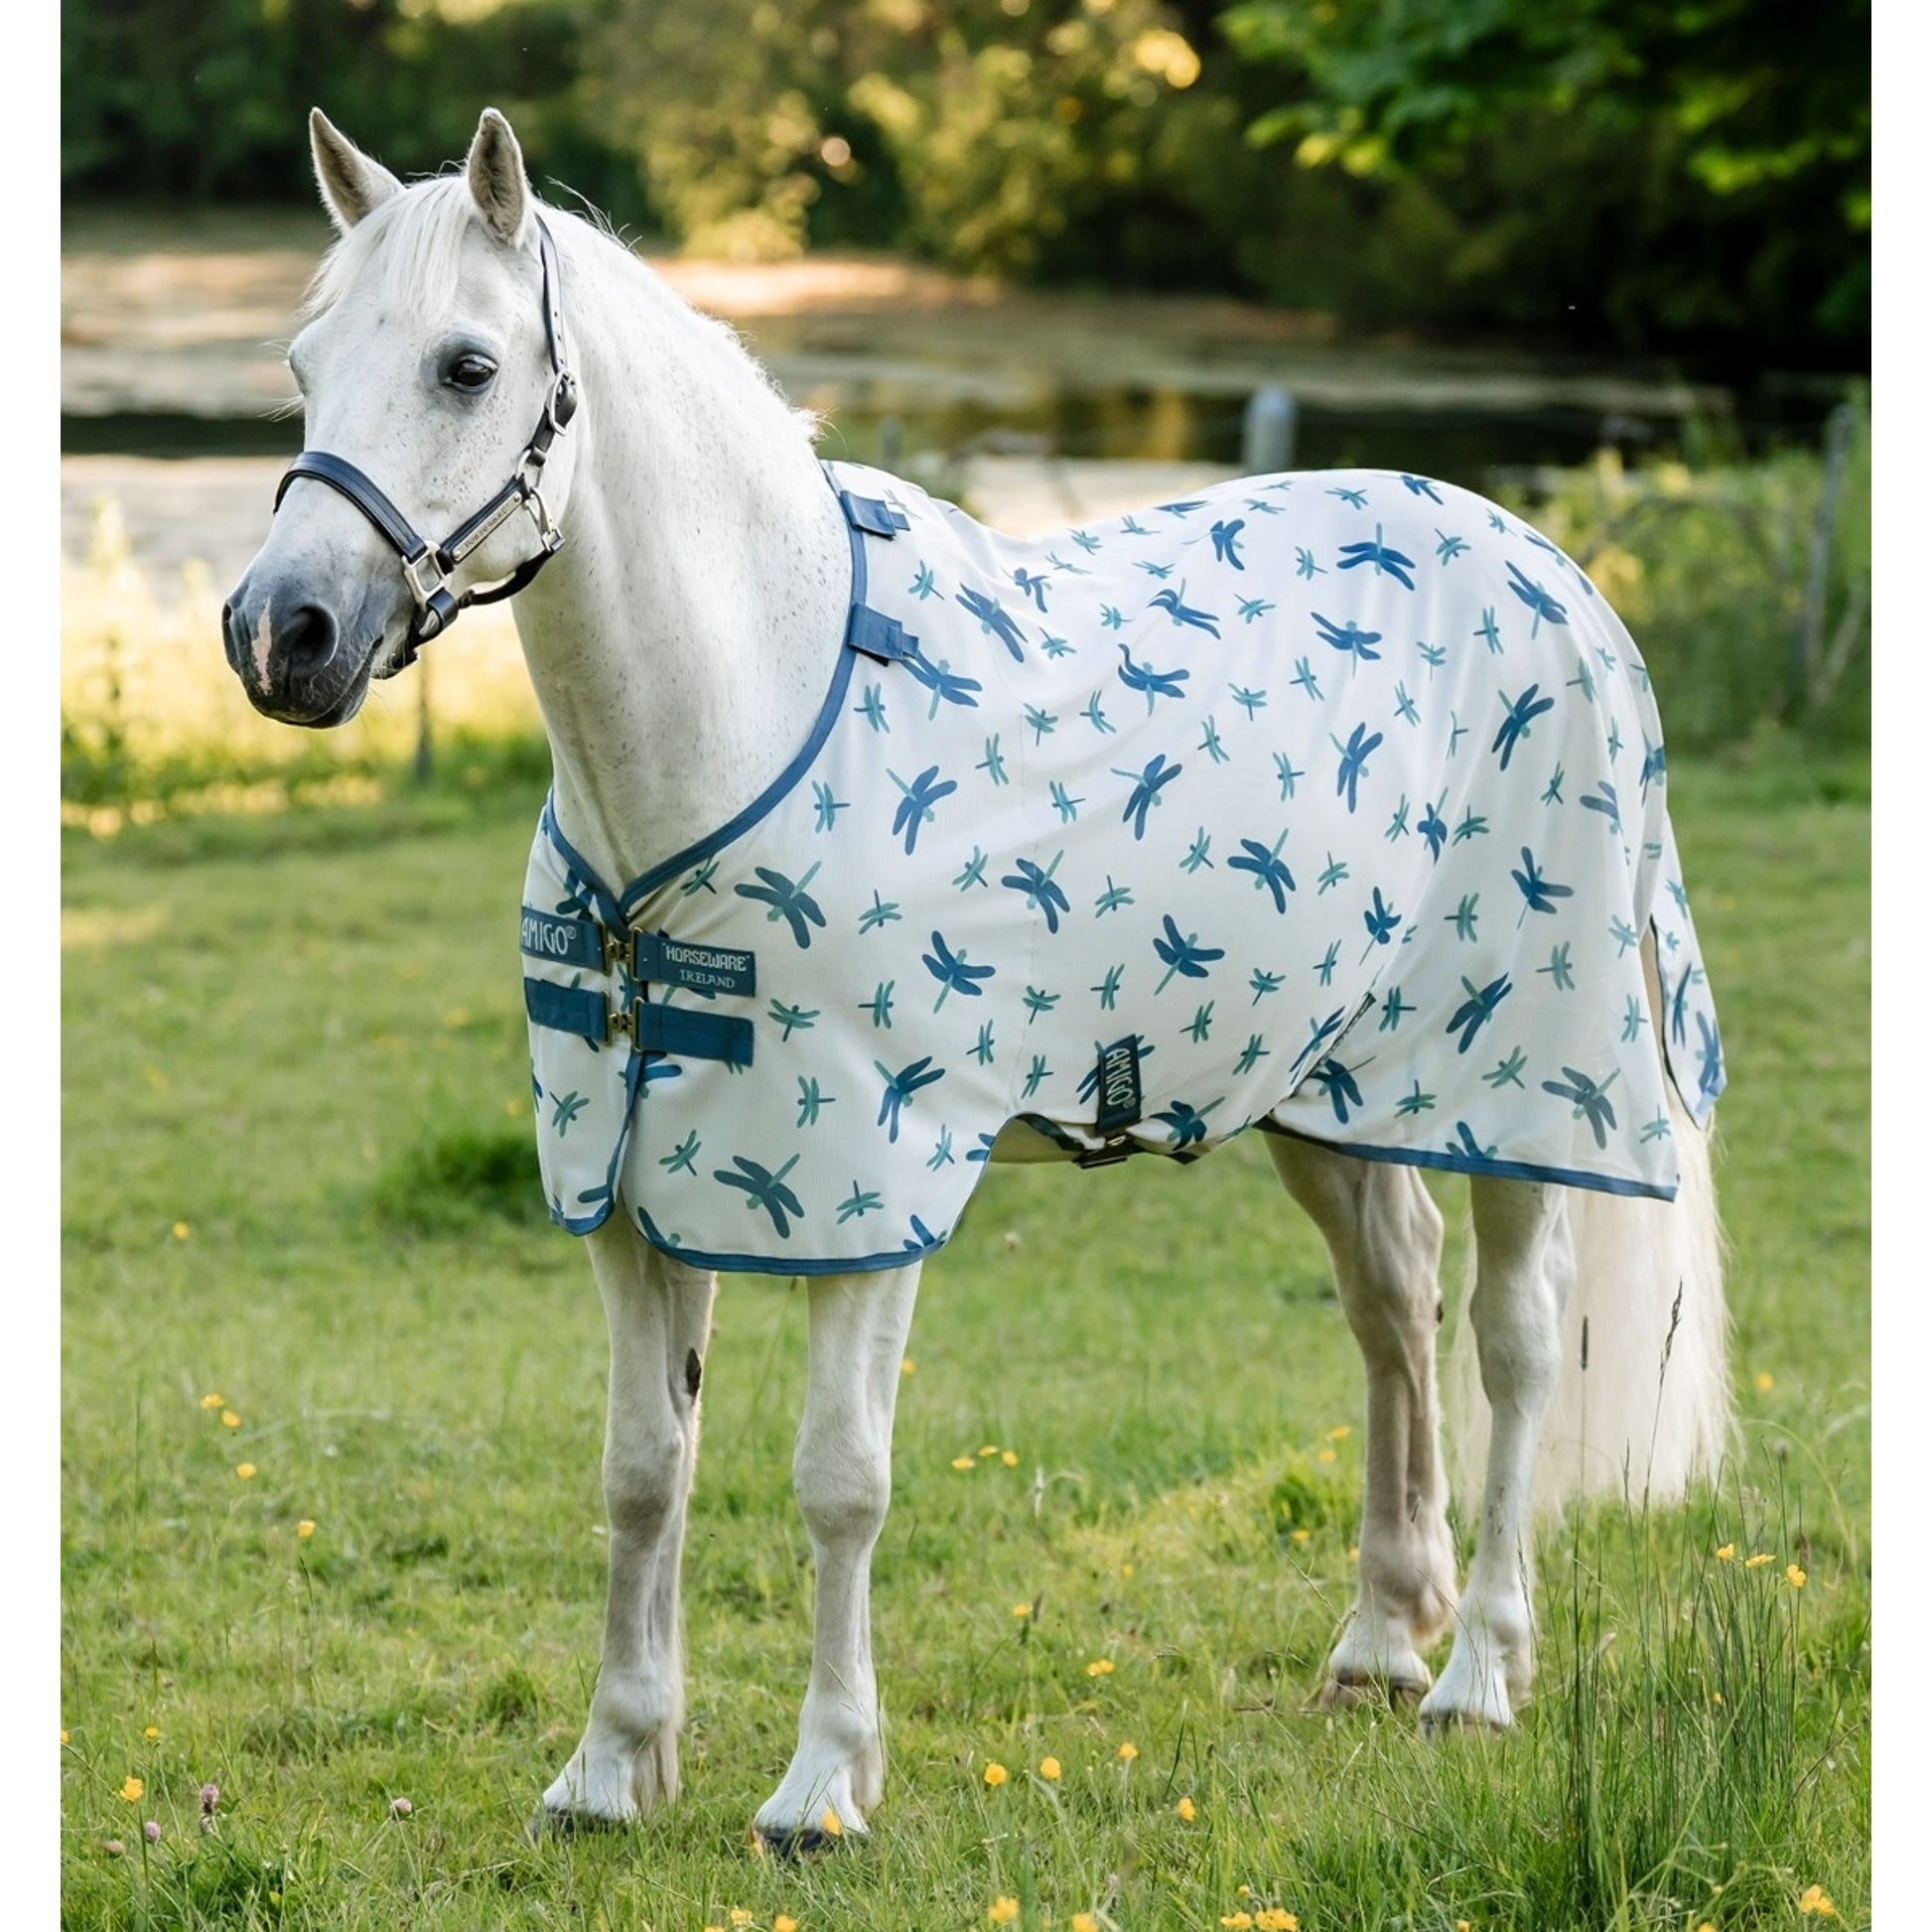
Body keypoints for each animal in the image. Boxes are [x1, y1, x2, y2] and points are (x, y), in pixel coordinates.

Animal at [221, 107, 1730, 1846]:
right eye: (305, 362)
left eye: (466, 367)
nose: (281, 632)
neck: (747, 716)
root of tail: (1552, 569)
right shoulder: (632, 1186)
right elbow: (639, 1466)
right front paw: (610, 1766)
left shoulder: (870, 1192)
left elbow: (837, 1479)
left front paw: (820, 1783)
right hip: (1330, 1087)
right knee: (1390, 1306)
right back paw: (1374, 1641)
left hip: (1519, 1093)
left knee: (1515, 1342)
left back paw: (1478, 1668)